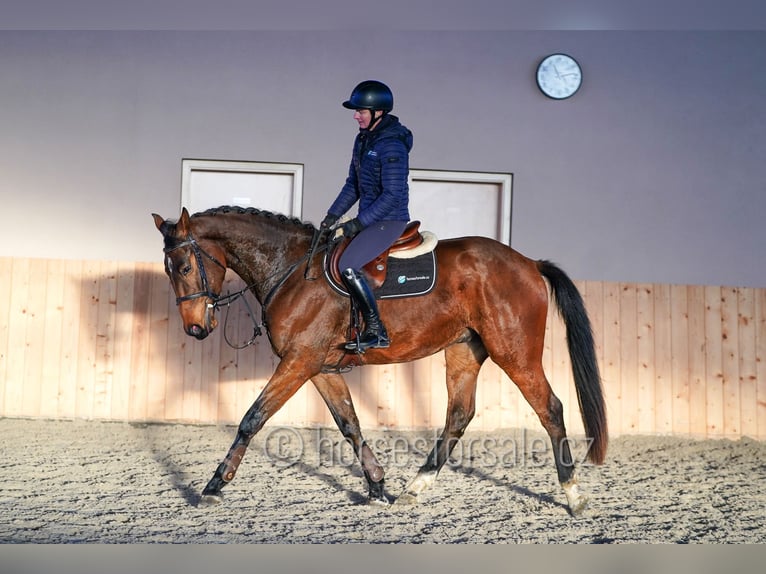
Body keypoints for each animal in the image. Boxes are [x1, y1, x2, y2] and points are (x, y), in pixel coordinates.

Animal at [152, 205, 607, 516]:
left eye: (185, 265)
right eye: (168, 269)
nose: (195, 328)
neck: (291, 270)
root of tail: (529, 263)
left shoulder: (299, 362)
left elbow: (252, 418)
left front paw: (214, 486)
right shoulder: (320, 367)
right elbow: (349, 424)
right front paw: (377, 487)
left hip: (513, 351)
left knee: (550, 409)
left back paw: (574, 495)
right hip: (464, 349)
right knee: (459, 415)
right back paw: (414, 489)